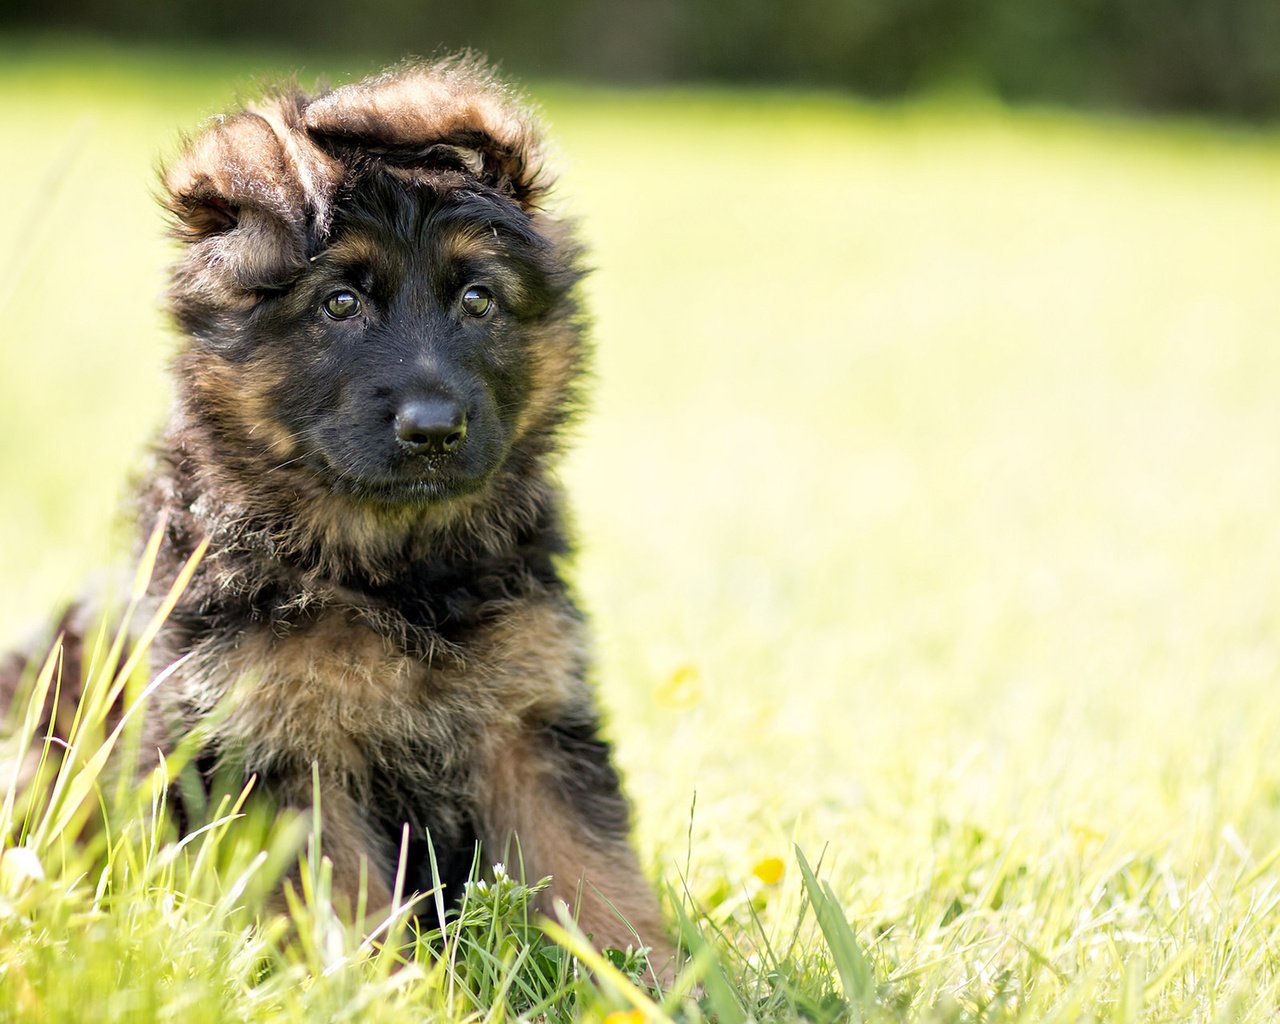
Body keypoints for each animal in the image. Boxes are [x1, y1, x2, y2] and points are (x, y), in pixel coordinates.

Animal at [2, 60, 670, 972]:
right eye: (341, 303)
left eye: (477, 299)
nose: (434, 429)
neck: (397, 573)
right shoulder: (275, 749)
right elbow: (346, 909)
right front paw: (379, 987)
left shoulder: (531, 723)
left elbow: (593, 876)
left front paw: (660, 982)